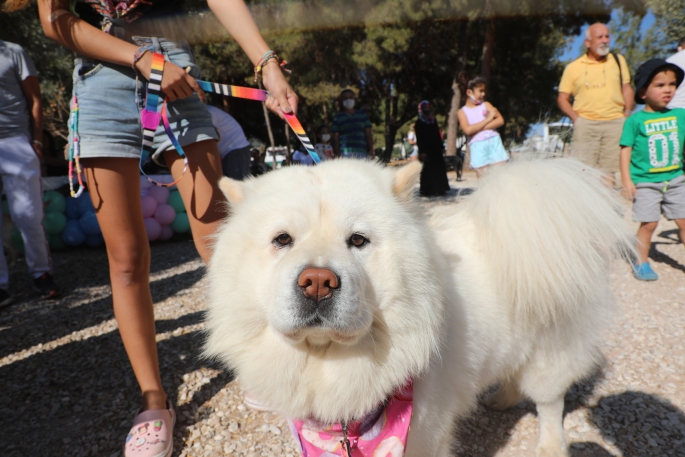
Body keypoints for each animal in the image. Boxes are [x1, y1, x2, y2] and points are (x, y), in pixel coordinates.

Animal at [206, 158, 632, 456]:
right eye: (282, 240)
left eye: (358, 240)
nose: (317, 282)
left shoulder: (425, 434)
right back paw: (500, 399)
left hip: (551, 352)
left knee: (549, 403)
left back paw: (549, 445)